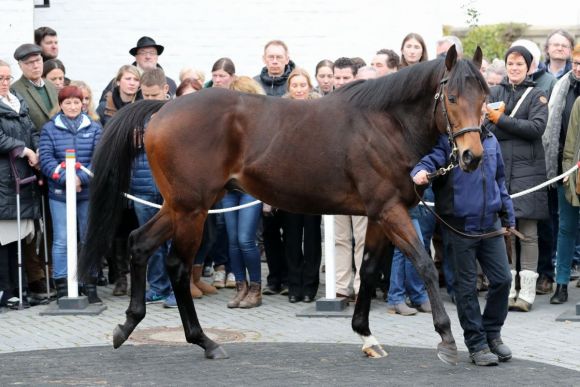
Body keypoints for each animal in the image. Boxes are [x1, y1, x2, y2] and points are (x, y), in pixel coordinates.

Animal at [79, 46, 488, 366]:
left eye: (484, 98)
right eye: (452, 98)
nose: (472, 156)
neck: (384, 124)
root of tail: (161, 110)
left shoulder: (378, 214)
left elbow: (370, 269)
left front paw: (365, 335)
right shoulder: (390, 211)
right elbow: (424, 264)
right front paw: (447, 339)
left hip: (182, 206)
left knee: (139, 244)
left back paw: (127, 326)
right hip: (192, 210)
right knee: (177, 265)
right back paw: (205, 341)